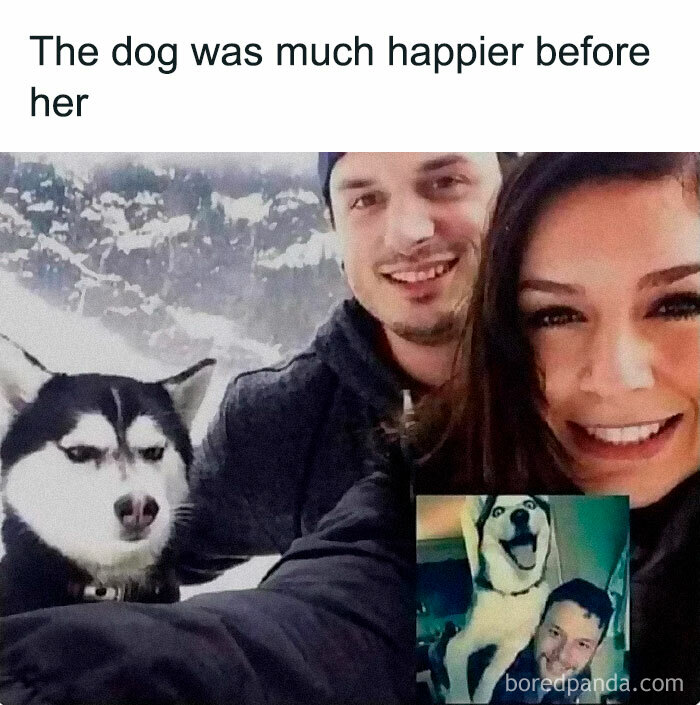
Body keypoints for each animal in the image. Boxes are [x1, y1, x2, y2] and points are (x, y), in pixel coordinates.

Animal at [442, 498, 552, 700]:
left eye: (529, 505)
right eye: (498, 511)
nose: (519, 515)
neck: (512, 591)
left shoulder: (513, 645)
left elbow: (491, 672)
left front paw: (481, 697)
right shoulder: (459, 643)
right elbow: (459, 685)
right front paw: (460, 698)